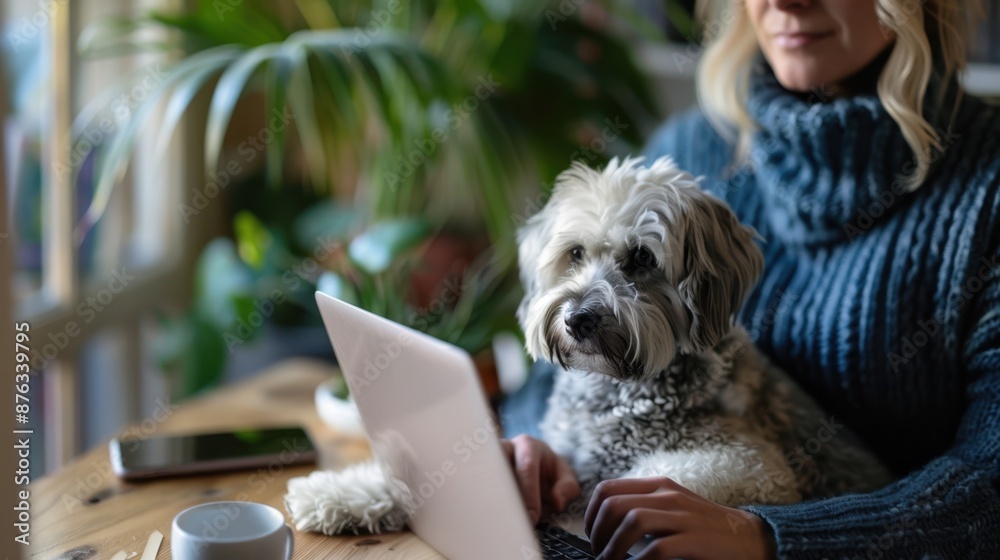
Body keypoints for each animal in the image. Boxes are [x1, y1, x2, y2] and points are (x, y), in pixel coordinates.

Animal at [288, 156, 892, 532]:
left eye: (642, 259)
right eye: (575, 253)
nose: (577, 319)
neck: (619, 391)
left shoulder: (756, 466)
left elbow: (662, 478)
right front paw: (339, 494)